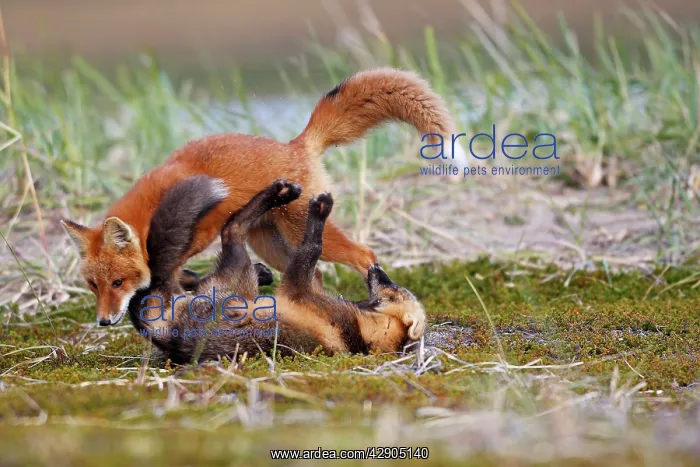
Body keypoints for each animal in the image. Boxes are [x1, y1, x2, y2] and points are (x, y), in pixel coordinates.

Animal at [61, 67, 464, 327]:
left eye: (118, 283)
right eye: (94, 285)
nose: (103, 322)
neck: (155, 204)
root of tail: (295, 144)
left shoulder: (200, 233)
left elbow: (174, 275)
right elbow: (186, 275)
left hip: (308, 232)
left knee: (365, 255)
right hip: (271, 243)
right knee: (313, 277)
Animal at [128, 176, 426, 363]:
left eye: (393, 287)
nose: (376, 268)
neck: (362, 333)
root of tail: (170, 339)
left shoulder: (299, 290)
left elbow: (312, 248)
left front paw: (319, 212)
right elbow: (310, 260)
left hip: (236, 276)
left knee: (232, 229)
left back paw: (280, 193)